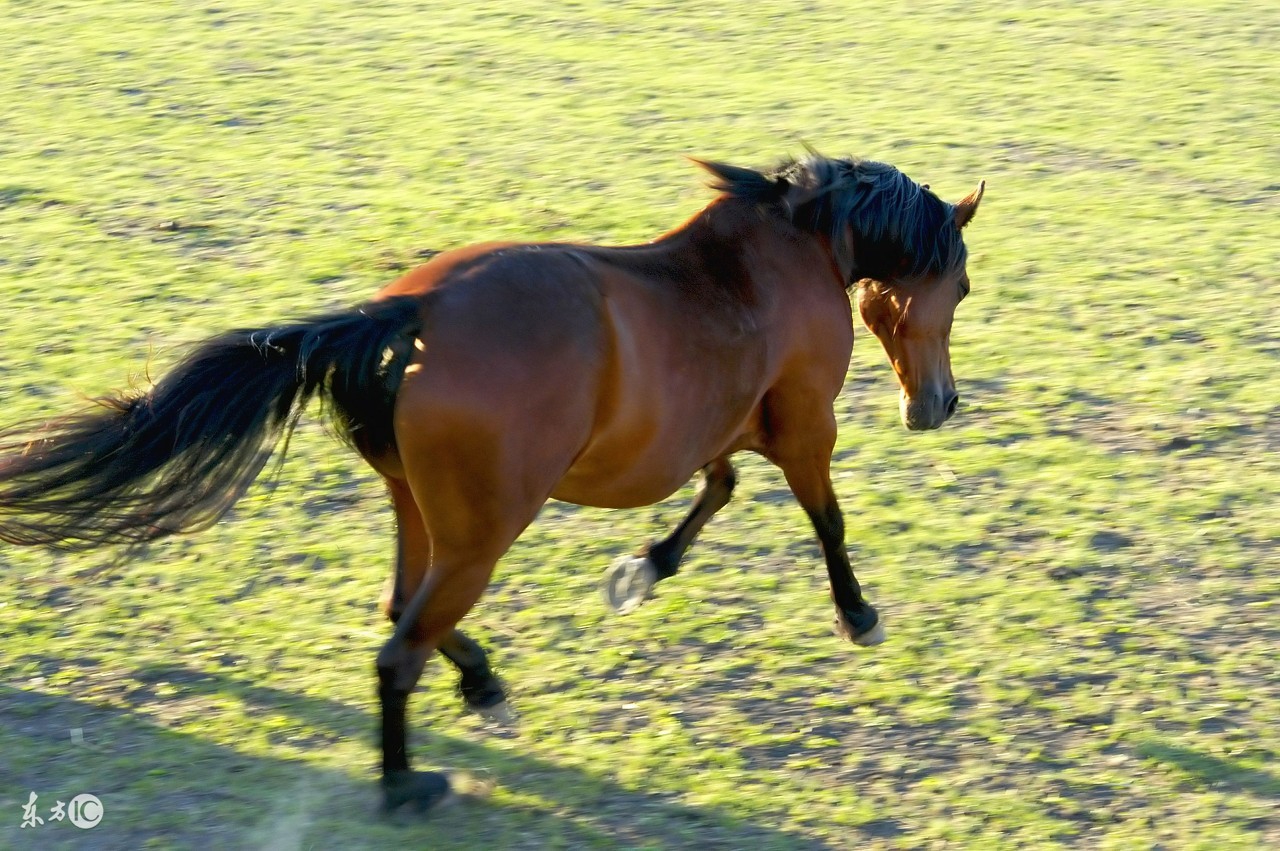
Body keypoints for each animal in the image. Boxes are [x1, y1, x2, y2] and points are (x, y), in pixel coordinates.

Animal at [0, 152, 983, 808]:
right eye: (964, 286)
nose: (940, 403)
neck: (790, 254)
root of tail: (409, 311)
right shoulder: (804, 426)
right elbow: (824, 518)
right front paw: (858, 613)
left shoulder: (725, 428)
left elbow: (718, 491)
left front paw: (642, 569)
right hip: (484, 531)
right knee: (402, 644)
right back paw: (407, 783)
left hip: (421, 510)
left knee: (404, 608)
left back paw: (478, 683)